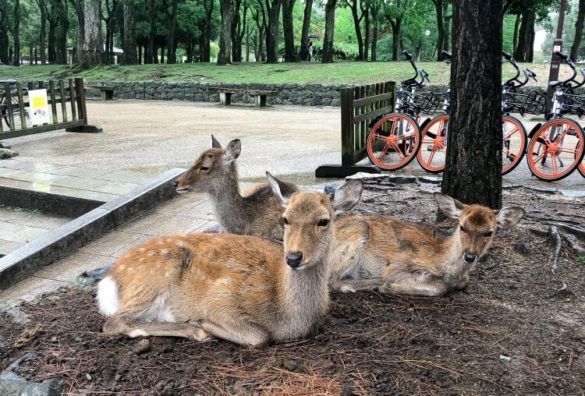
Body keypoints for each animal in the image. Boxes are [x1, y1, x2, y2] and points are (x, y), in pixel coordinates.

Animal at [95, 175, 360, 344]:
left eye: (324, 221)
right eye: (285, 219)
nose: (293, 257)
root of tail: (110, 278)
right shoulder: (221, 298)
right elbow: (259, 336)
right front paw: (204, 323)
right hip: (151, 278)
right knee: (114, 322)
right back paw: (196, 330)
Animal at [328, 193, 524, 296]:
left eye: (489, 232)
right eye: (462, 226)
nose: (469, 256)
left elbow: (462, 283)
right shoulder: (398, 264)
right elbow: (438, 287)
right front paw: (390, 286)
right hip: (356, 233)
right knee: (332, 281)